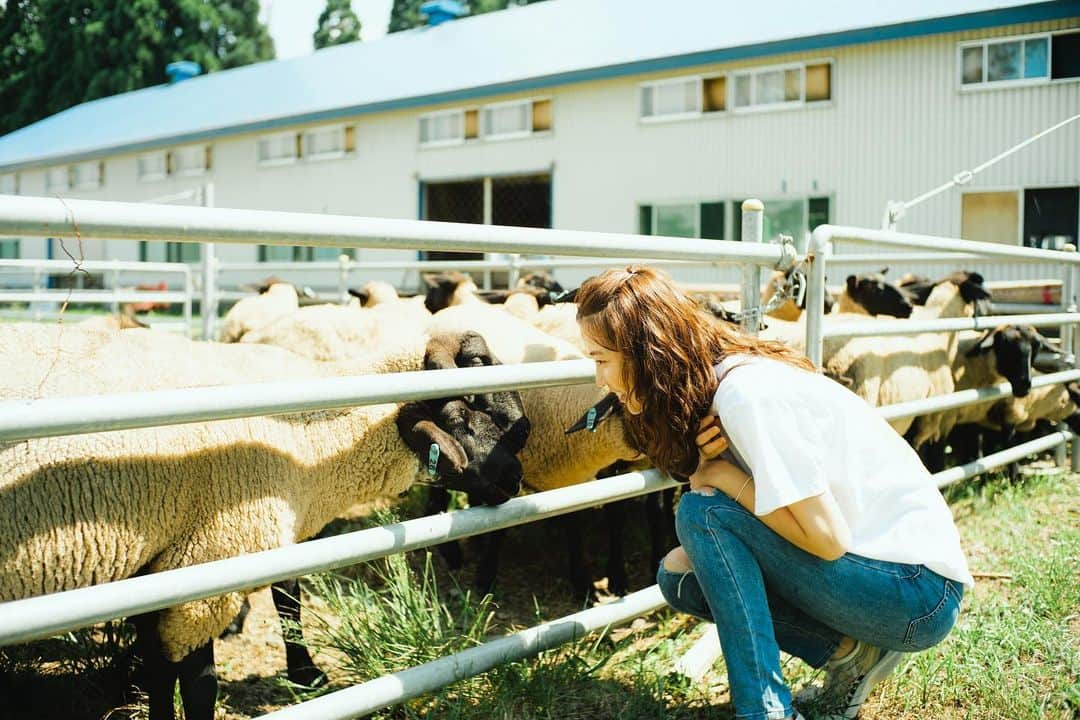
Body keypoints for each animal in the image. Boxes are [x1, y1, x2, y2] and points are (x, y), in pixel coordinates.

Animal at [0, 323, 531, 716]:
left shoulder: (161, 570)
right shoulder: (207, 567)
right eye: (464, 414)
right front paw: (305, 673)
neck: (305, 439)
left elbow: (162, 667)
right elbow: (201, 683)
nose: (516, 475)